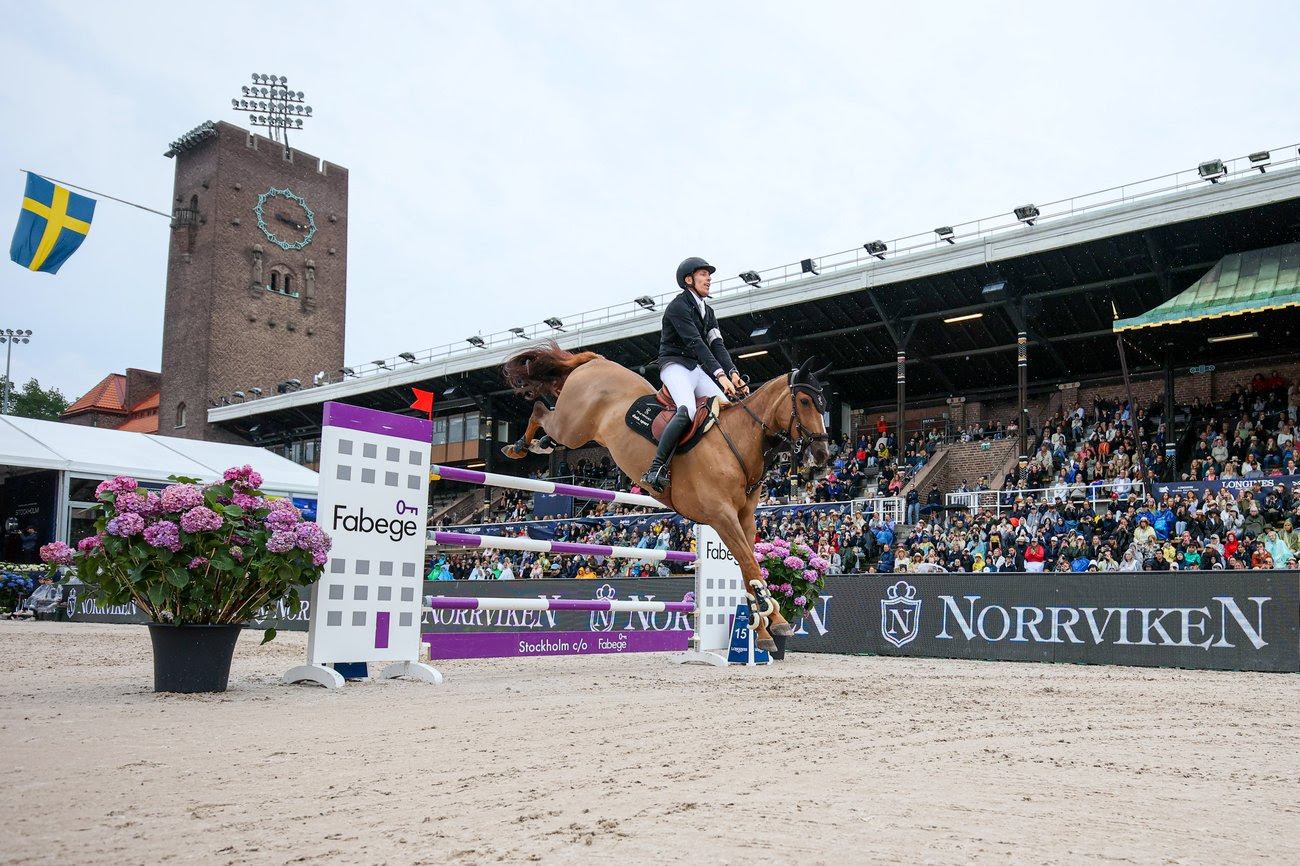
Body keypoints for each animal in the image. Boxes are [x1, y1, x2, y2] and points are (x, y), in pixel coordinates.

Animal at [501, 343, 826, 647]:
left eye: (823, 403)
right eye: (805, 401)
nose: (822, 453)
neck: (739, 441)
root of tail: (596, 361)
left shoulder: (744, 519)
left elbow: (748, 569)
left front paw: (763, 631)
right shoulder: (721, 516)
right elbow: (750, 564)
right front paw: (776, 621)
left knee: (546, 421)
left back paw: (539, 443)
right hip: (573, 426)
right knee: (540, 411)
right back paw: (519, 446)